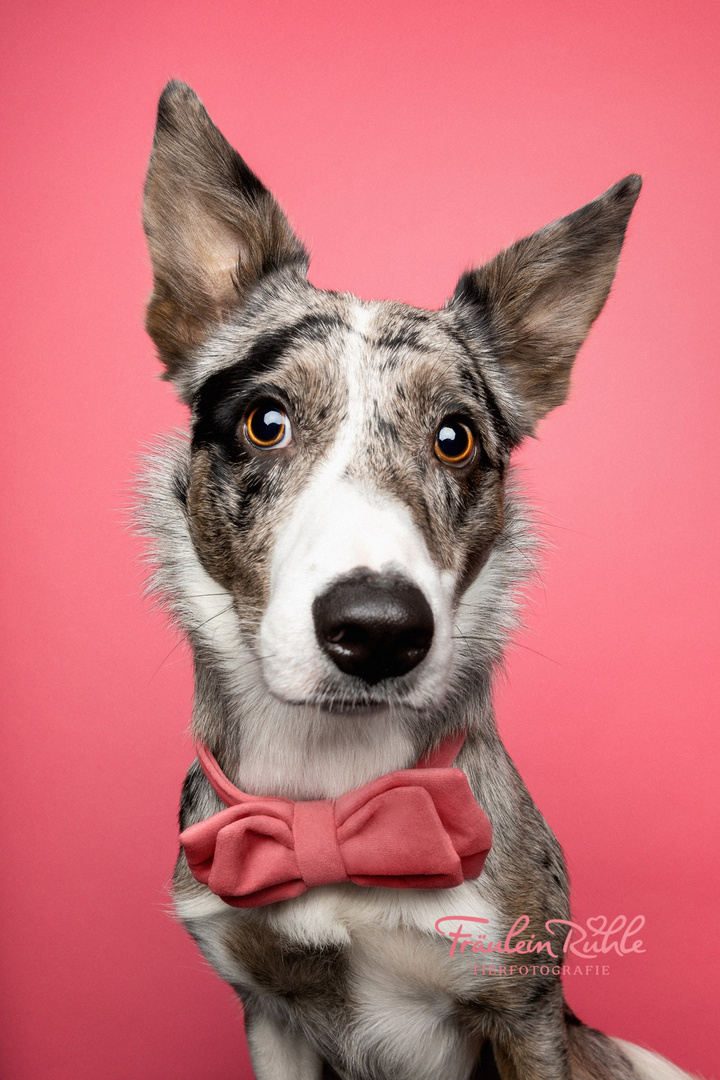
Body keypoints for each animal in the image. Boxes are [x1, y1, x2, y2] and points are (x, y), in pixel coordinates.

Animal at [138, 84, 695, 1080]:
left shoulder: (525, 1007)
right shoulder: (269, 1011)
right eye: (266, 420)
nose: (379, 629)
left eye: (455, 438)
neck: (331, 797)